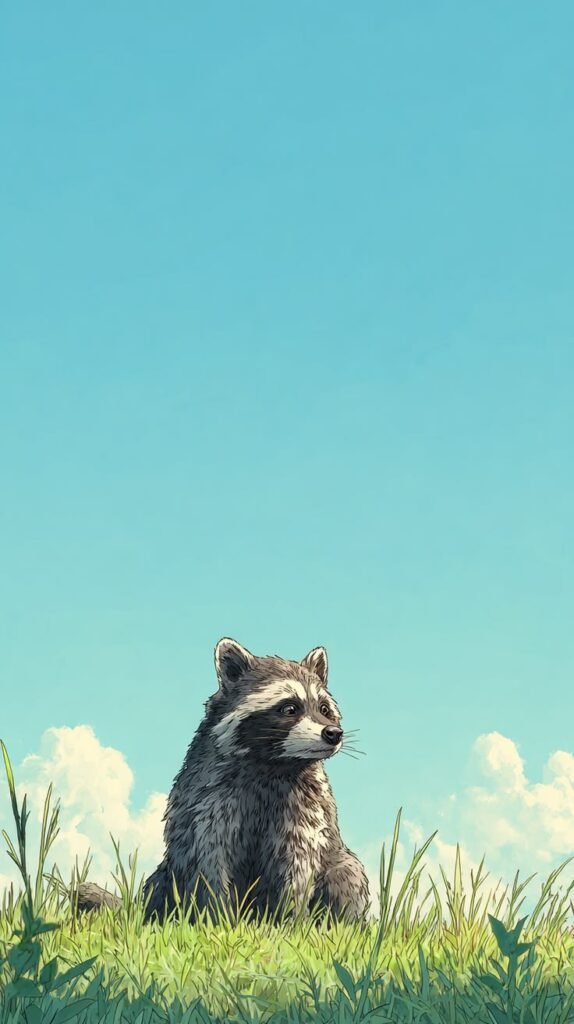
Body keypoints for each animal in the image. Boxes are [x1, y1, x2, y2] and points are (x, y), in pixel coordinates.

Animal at [141, 638, 370, 923]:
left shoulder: (305, 810)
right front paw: (218, 918)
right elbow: (211, 863)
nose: (334, 733)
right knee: (157, 883)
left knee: (349, 873)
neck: (274, 764)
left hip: (338, 858)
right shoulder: (209, 804)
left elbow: (298, 866)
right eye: (290, 708)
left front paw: (290, 921)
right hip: (168, 870)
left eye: (324, 709)